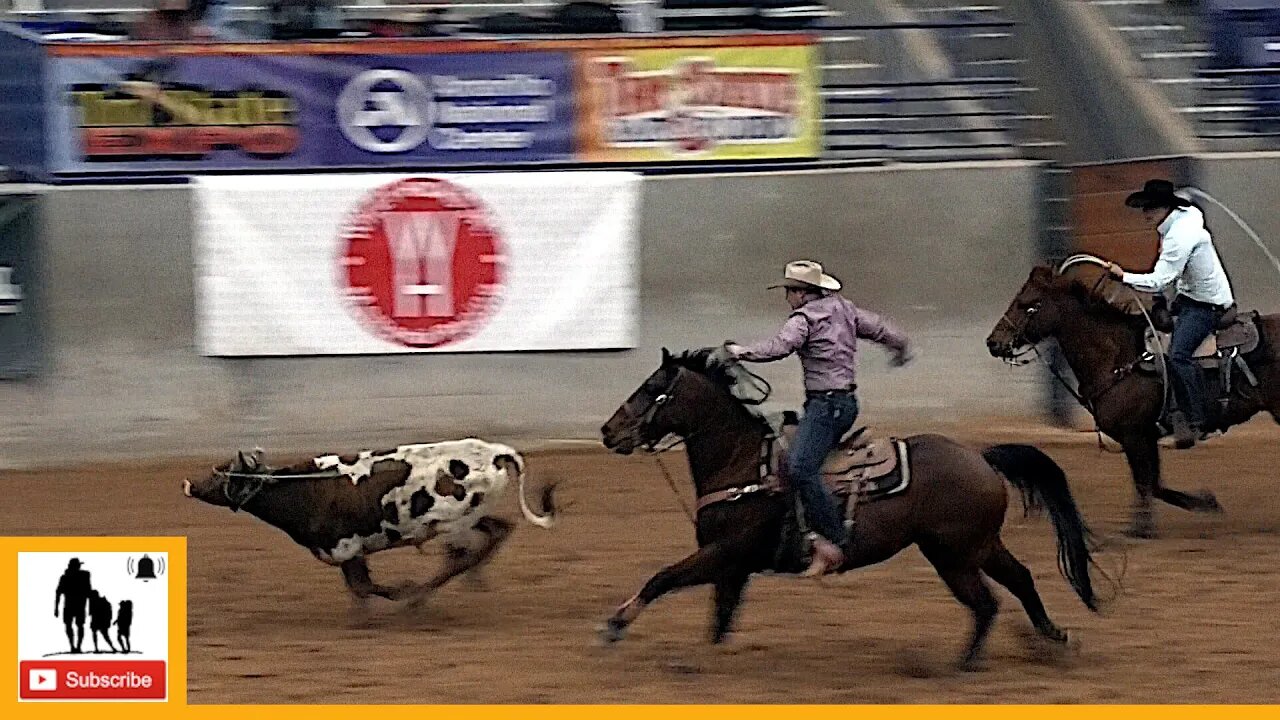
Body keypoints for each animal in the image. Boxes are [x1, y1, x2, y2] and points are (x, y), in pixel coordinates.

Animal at [988, 260, 1280, 535]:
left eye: (1028, 304)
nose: (993, 342)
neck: (1118, 360)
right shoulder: (1146, 437)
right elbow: (1154, 485)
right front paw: (1205, 503)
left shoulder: (1135, 437)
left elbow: (1146, 484)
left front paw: (1142, 528)